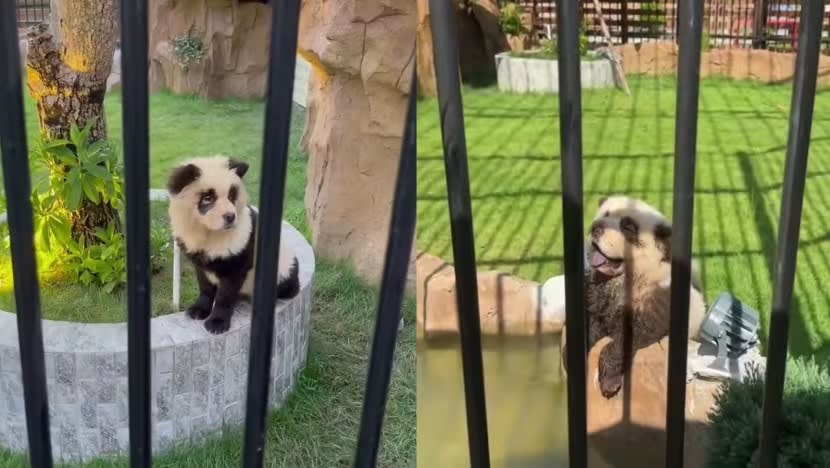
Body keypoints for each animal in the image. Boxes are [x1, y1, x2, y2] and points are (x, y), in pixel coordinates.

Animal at [166, 156, 300, 335]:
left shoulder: (239, 252)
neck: (211, 234)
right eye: (208, 198)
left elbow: (226, 294)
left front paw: (217, 323)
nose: (230, 217)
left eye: (231, 196)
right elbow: (205, 286)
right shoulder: (199, 259)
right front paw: (198, 310)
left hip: (282, 268)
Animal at [568, 195, 707, 398]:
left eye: (628, 227)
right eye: (605, 214)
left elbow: (624, 340)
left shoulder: (656, 302)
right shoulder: (597, 298)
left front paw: (609, 381)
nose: (595, 228)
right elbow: (589, 323)